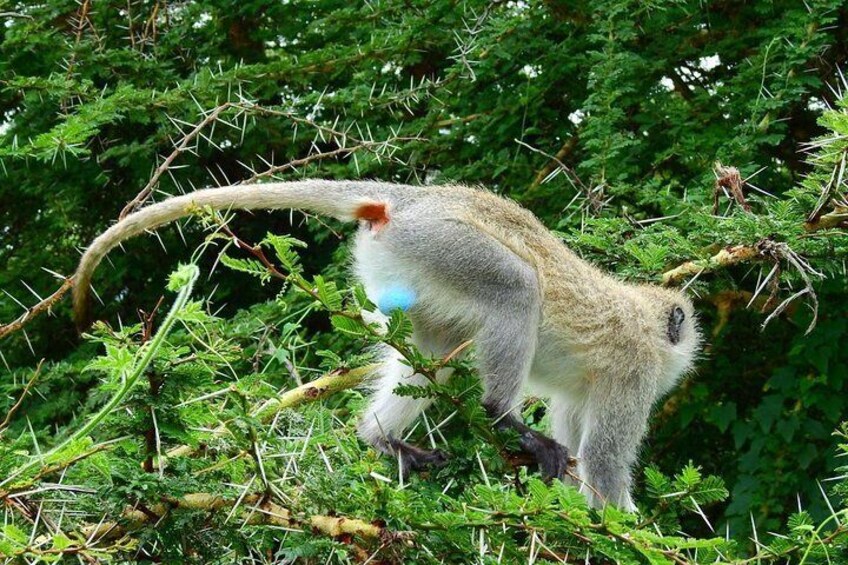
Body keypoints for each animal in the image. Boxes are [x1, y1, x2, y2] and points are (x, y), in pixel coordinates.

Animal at [73, 181, 700, 512]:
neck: (641, 312)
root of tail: (412, 200)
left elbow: (581, 453)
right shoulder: (636, 370)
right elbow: (604, 460)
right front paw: (626, 530)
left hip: (406, 267)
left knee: (433, 360)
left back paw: (379, 438)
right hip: (444, 243)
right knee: (517, 289)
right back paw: (502, 418)